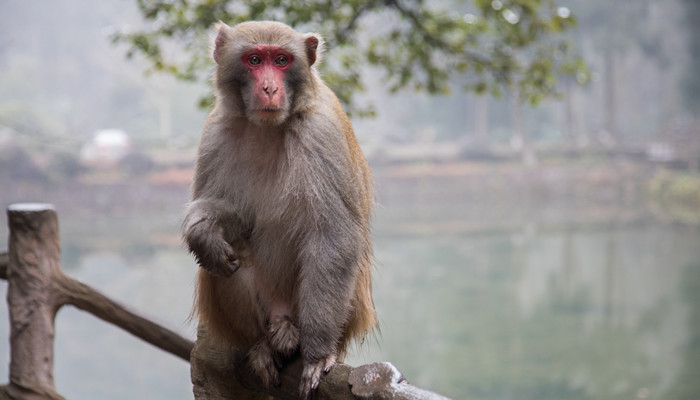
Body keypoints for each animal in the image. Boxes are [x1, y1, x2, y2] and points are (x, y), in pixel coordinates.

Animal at [182, 20, 378, 398]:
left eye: (283, 60)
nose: (270, 88)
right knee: (228, 262)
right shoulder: (216, 130)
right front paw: (202, 231)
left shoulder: (322, 133)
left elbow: (334, 239)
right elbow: (232, 215)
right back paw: (261, 345)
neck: (267, 129)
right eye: (255, 60)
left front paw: (317, 353)